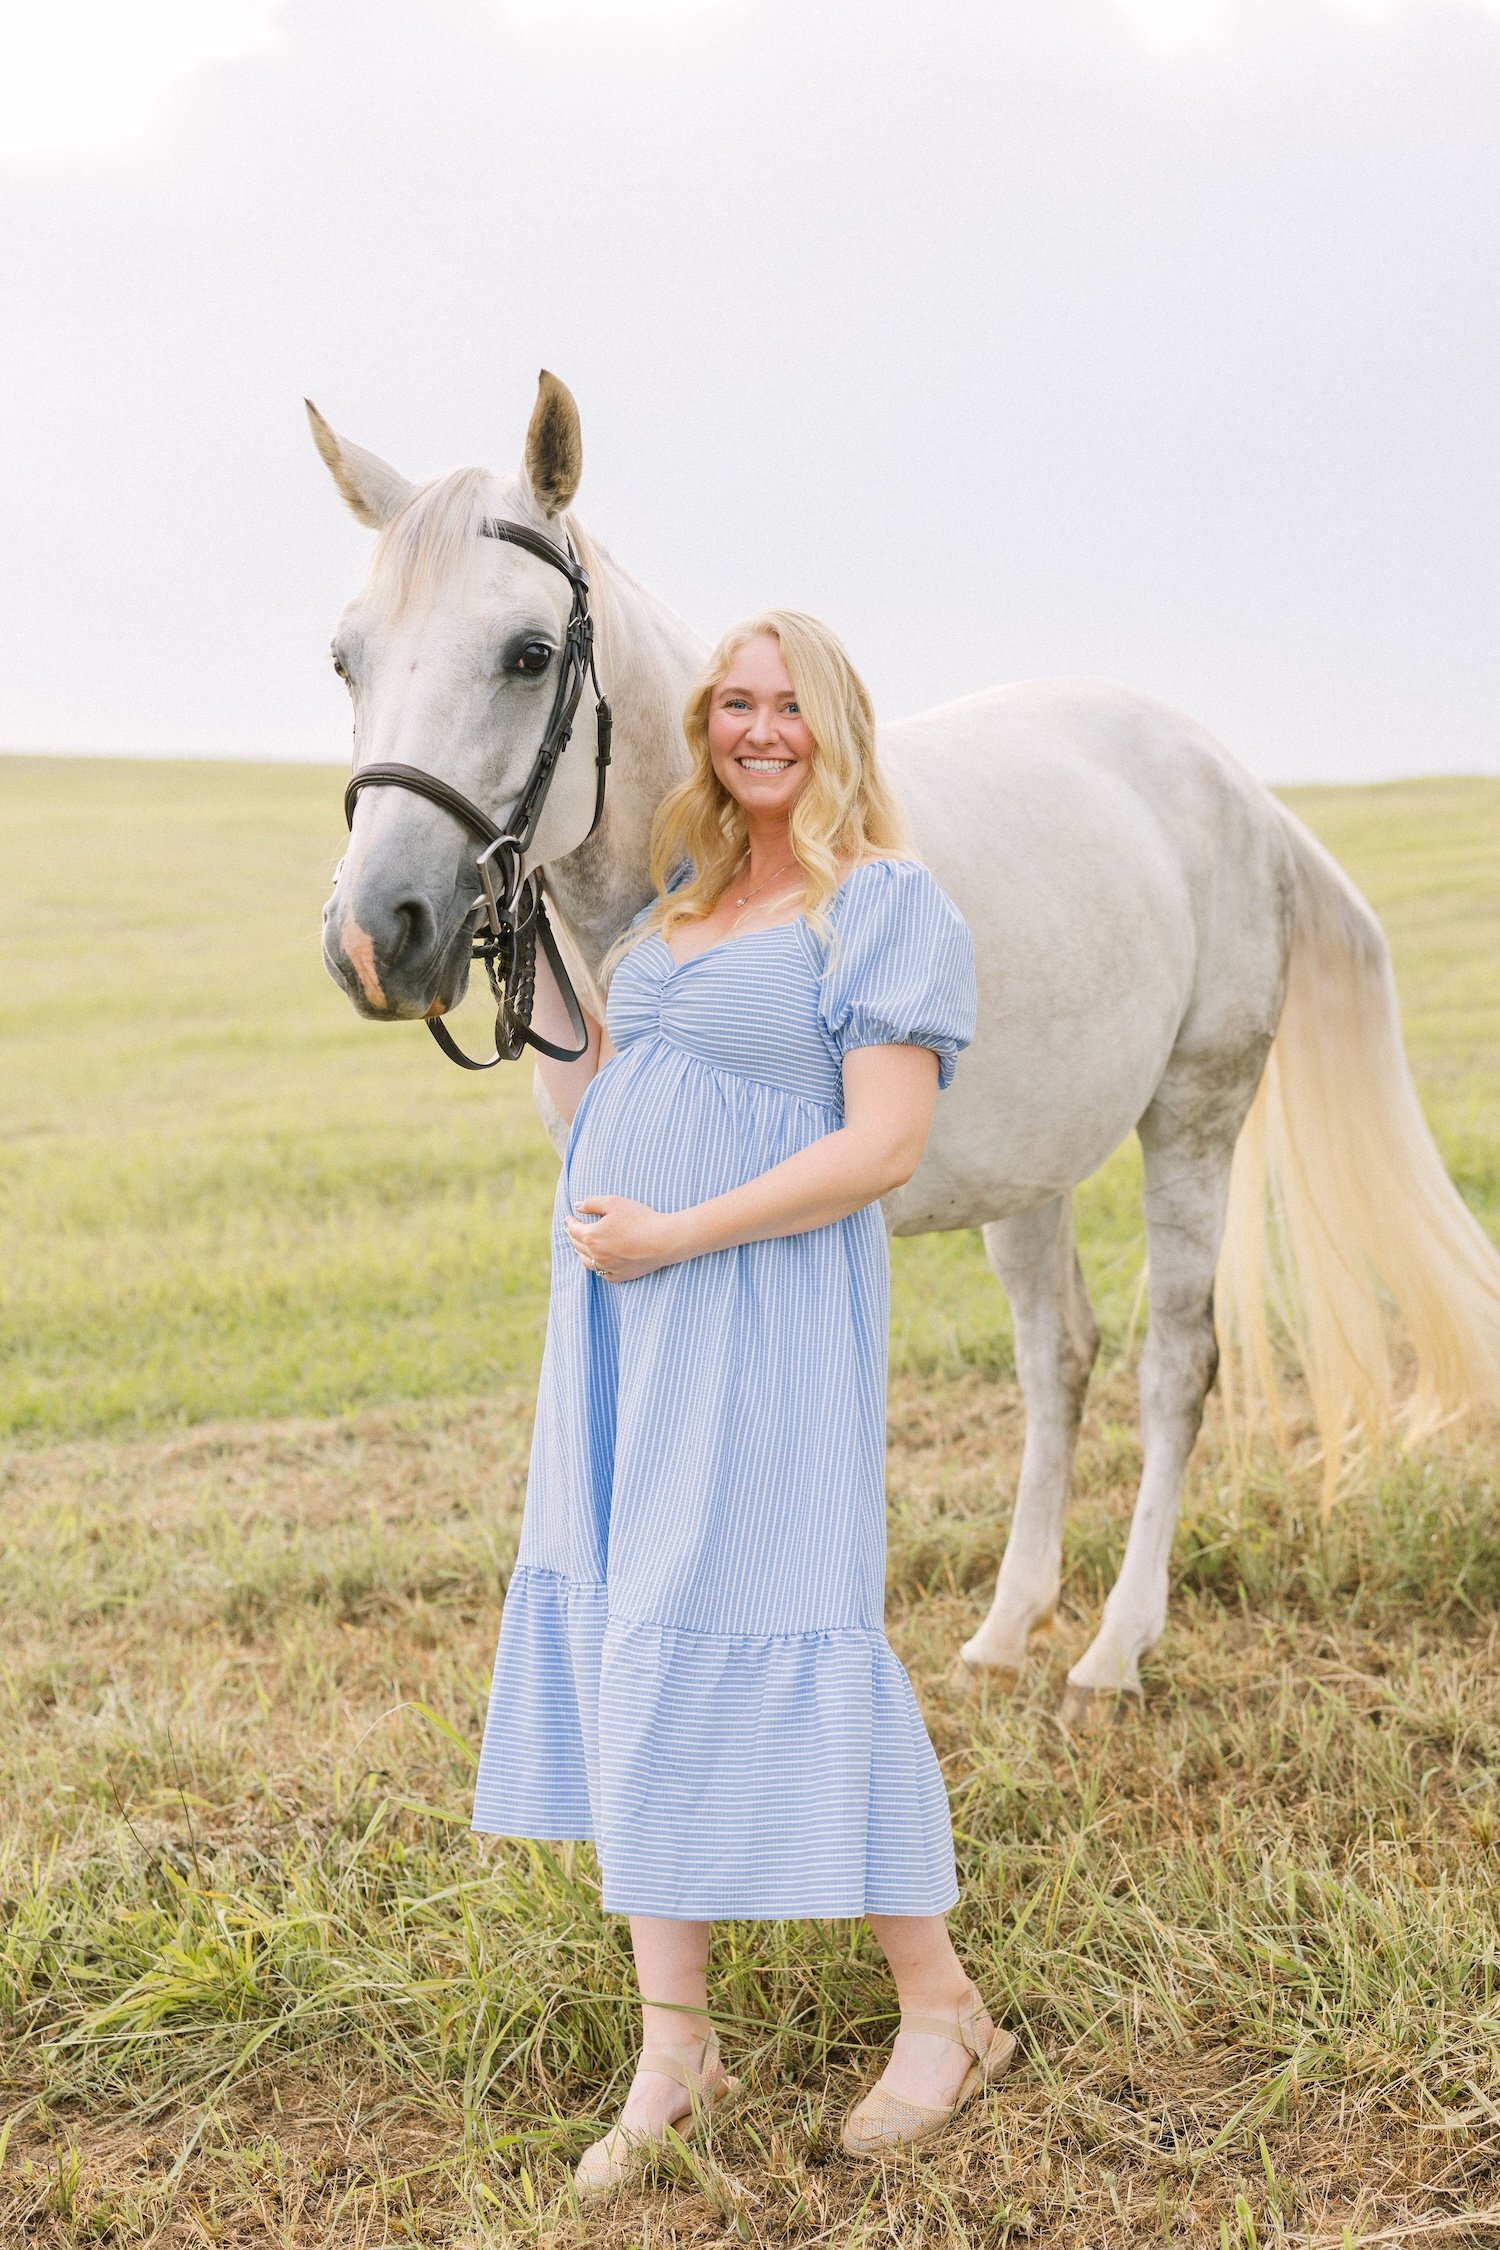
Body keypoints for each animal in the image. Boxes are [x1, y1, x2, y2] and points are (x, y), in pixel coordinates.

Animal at [310, 371, 1500, 1725]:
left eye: (528, 653)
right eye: (345, 658)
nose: (376, 934)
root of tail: (1232, 779)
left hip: (1195, 1118)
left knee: (1174, 1367)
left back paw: (1112, 1652)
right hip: (1032, 1169)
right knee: (1058, 1361)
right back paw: (1006, 1630)